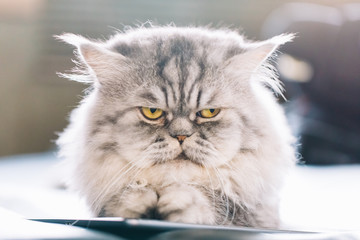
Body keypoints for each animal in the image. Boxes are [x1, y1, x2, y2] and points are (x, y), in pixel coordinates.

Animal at [56, 24, 296, 229]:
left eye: (209, 112)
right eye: (152, 112)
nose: (181, 136)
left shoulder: (258, 215)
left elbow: (215, 207)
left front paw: (180, 201)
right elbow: (121, 202)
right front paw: (137, 202)